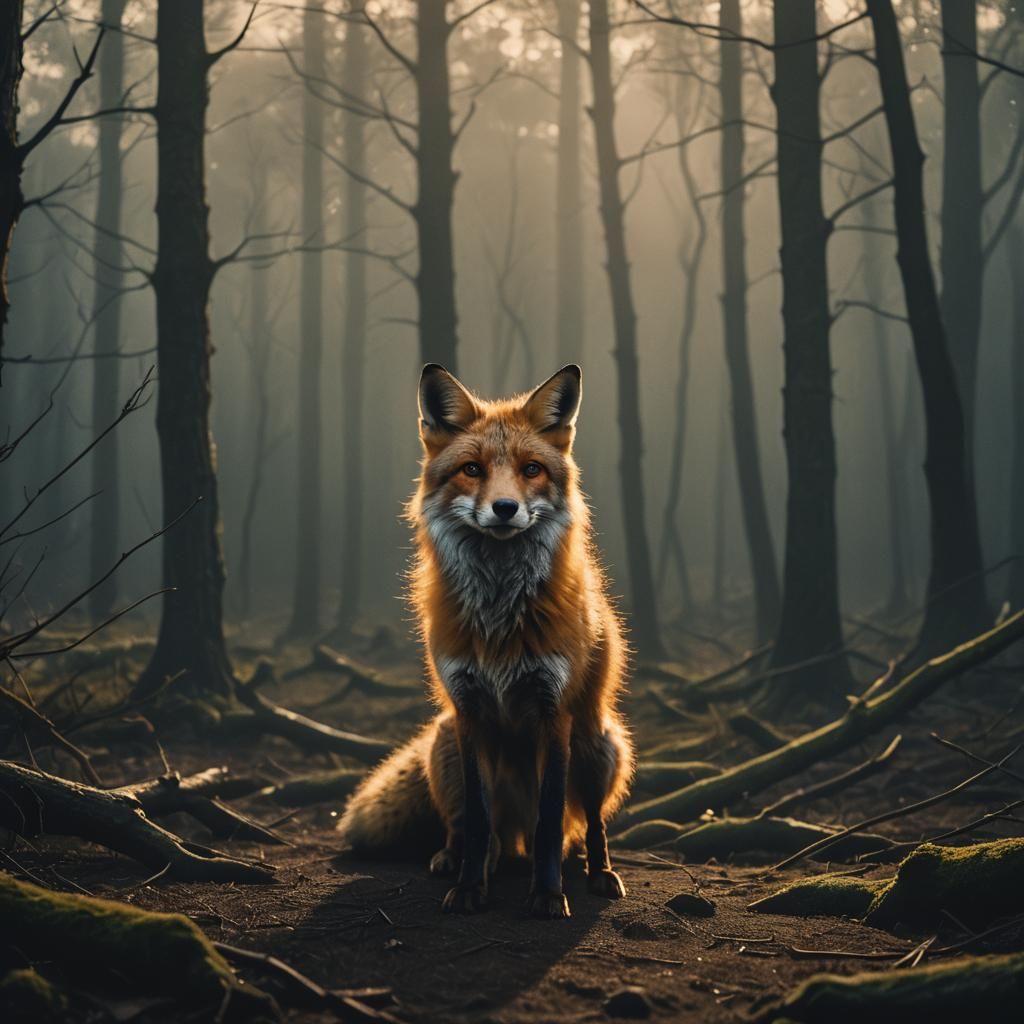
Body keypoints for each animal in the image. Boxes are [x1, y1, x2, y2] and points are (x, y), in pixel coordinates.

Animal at [336, 363, 634, 918]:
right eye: (472, 469)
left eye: (532, 469)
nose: (505, 507)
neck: (500, 618)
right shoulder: (469, 709)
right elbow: (476, 817)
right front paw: (471, 888)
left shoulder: (554, 712)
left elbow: (550, 821)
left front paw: (547, 895)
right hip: (443, 741)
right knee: (476, 829)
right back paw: (457, 858)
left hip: (599, 745)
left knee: (586, 825)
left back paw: (598, 872)